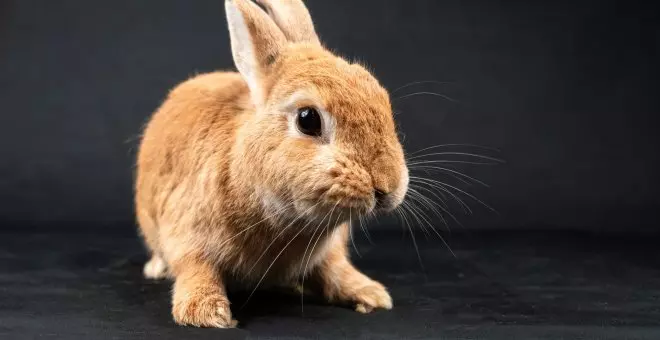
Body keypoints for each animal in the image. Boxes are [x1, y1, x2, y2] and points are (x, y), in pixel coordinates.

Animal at [134, 0, 408, 328]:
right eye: (308, 119)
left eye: (382, 98)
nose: (387, 186)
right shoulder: (186, 232)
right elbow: (196, 268)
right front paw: (207, 313)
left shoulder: (327, 253)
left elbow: (335, 270)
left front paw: (371, 295)